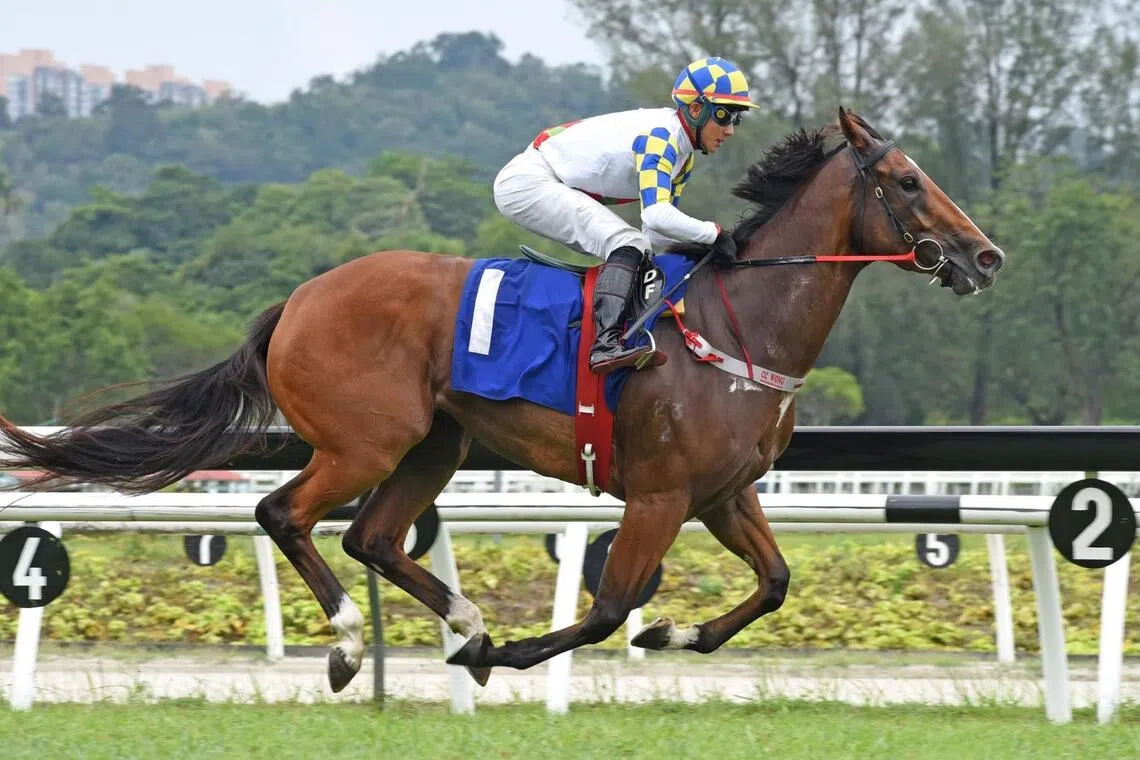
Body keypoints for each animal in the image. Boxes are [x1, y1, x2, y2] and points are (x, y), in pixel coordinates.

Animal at [0, 108, 1004, 691]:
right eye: (907, 181)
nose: (985, 255)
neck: (742, 320)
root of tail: (302, 298)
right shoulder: (661, 493)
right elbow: (608, 605)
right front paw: (522, 653)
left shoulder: (726, 493)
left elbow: (775, 583)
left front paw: (671, 634)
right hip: (363, 444)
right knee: (283, 514)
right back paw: (351, 643)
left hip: (434, 445)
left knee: (374, 537)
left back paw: (465, 625)